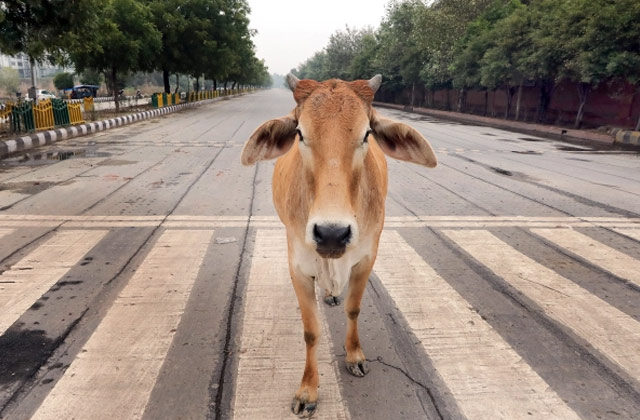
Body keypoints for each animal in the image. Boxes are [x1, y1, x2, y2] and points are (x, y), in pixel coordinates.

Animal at [241, 74, 437, 417]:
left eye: (366, 134)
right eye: (300, 133)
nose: (331, 233)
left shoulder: (366, 259)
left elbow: (353, 308)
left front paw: (355, 356)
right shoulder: (298, 267)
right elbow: (311, 331)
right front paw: (308, 390)